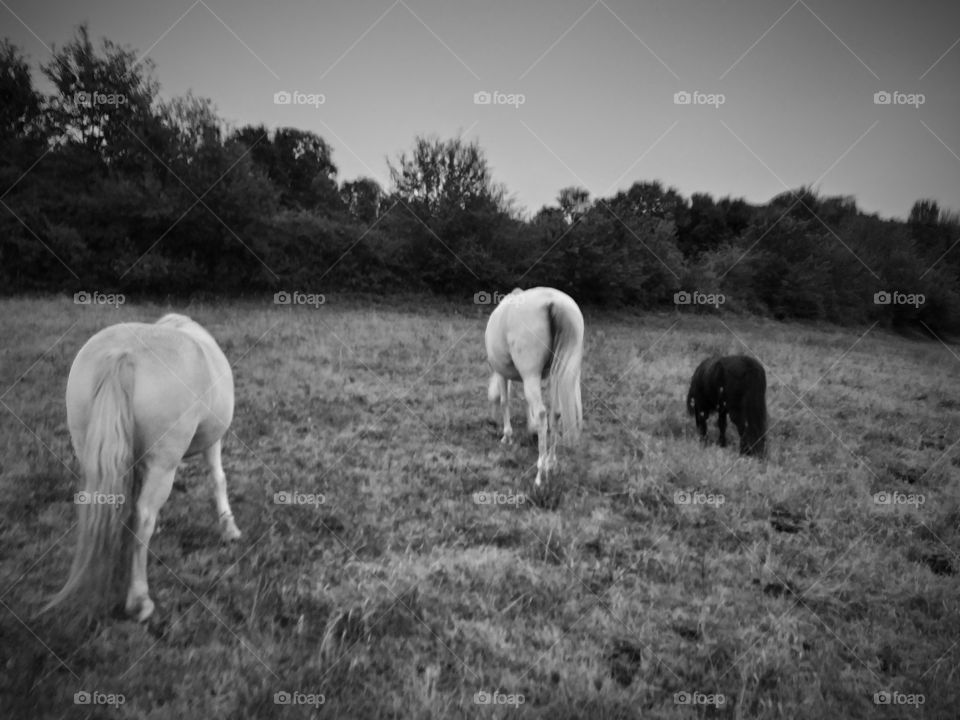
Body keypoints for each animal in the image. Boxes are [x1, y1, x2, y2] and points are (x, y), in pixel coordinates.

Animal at [44, 313, 241, 623]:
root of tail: (124, 353)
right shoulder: (213, 440)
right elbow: (218, 479)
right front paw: (229, 528)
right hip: (164, 463)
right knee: (144, 515)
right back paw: (139, 599)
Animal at [485, 287, 584, 486]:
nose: (490, 421)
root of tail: (553, 302)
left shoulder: (502, 374)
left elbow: (504, 401)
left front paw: (507, 436)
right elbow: (526, 403)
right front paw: (530, 429)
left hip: (532, 375)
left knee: (542, 414)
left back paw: (540, 473)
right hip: (557, 374)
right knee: (556, 414)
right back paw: (551, 463)